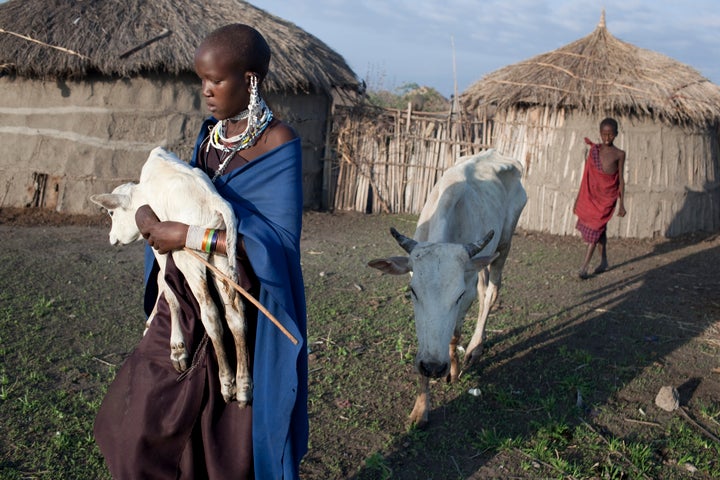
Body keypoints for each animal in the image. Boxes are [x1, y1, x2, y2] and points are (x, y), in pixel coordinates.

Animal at [91, 145, 252, 404]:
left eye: (112, 214)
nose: (111, 238)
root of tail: (216, 202)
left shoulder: (159, 244)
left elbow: (167, 287)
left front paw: (177, 348)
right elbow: (162, 281)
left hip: (188, 259)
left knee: (210, 313)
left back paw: (227, 383)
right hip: (222, 259)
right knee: (235, 315)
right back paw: (244, 385)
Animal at [368, 148, 524, 426]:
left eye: (458, 296)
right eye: (412, 292)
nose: (433, 367)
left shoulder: (467, 291)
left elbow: (453, 334)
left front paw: (453, 370)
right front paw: (420, 409)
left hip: (505, 243)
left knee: (492, 292)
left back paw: (474, 349)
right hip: (481, 260)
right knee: (485, 289)